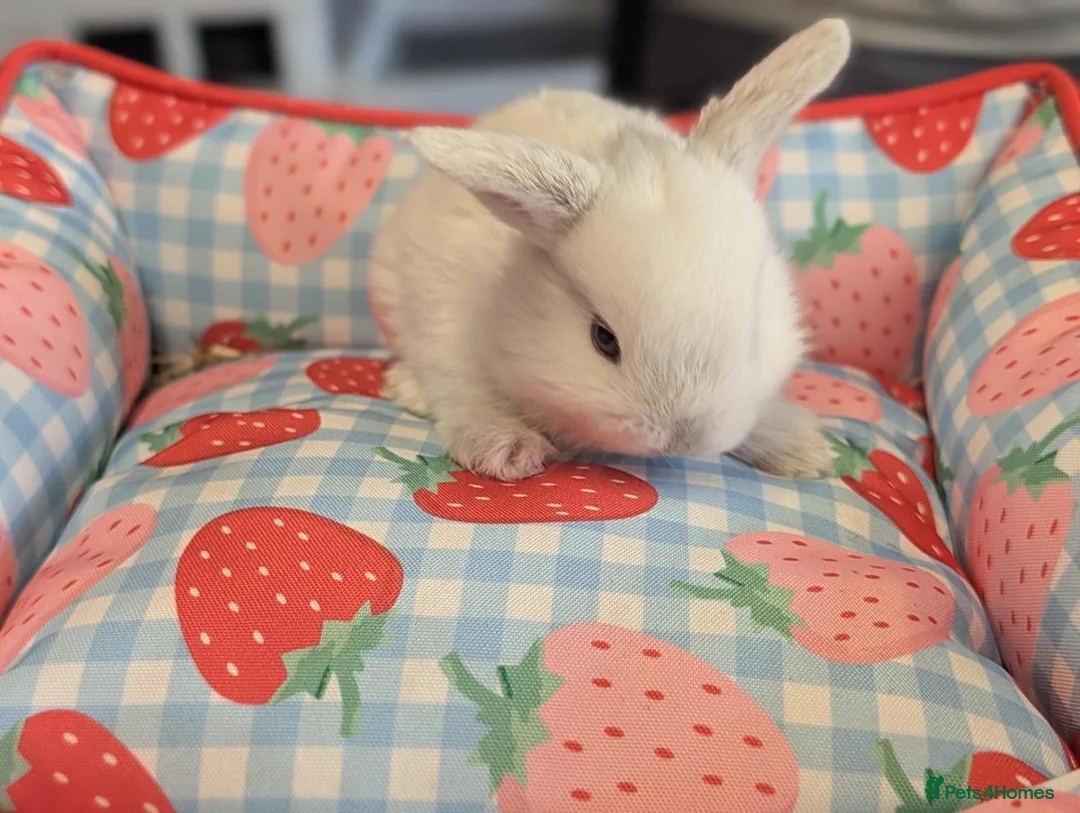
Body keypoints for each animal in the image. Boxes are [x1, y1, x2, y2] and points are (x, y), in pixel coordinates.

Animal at [368, 19, 851, 482]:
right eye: (603, 339)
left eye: (754, 333)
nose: (681, 437)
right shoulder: (446, 334)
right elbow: (463, 393)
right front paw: (508, 451)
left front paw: (806, 451)